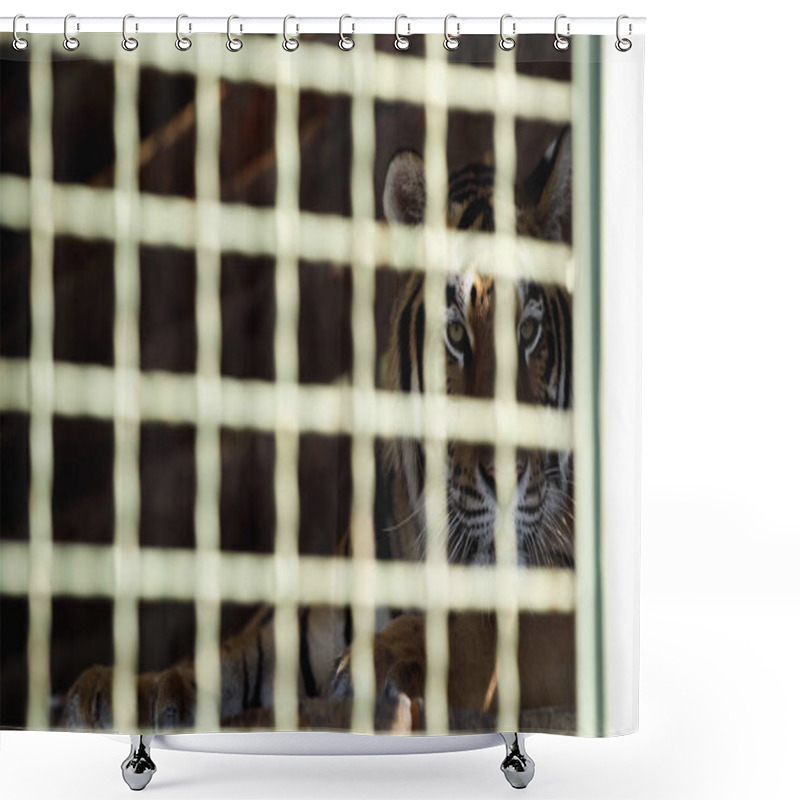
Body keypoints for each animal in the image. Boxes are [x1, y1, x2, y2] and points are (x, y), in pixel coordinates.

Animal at [62, 128, 576, 736]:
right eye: (455, 335)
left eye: (528, 331)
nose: (506, 471)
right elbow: (224, 659)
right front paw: (125, 689)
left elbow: (482, 629)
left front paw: (385, 658)